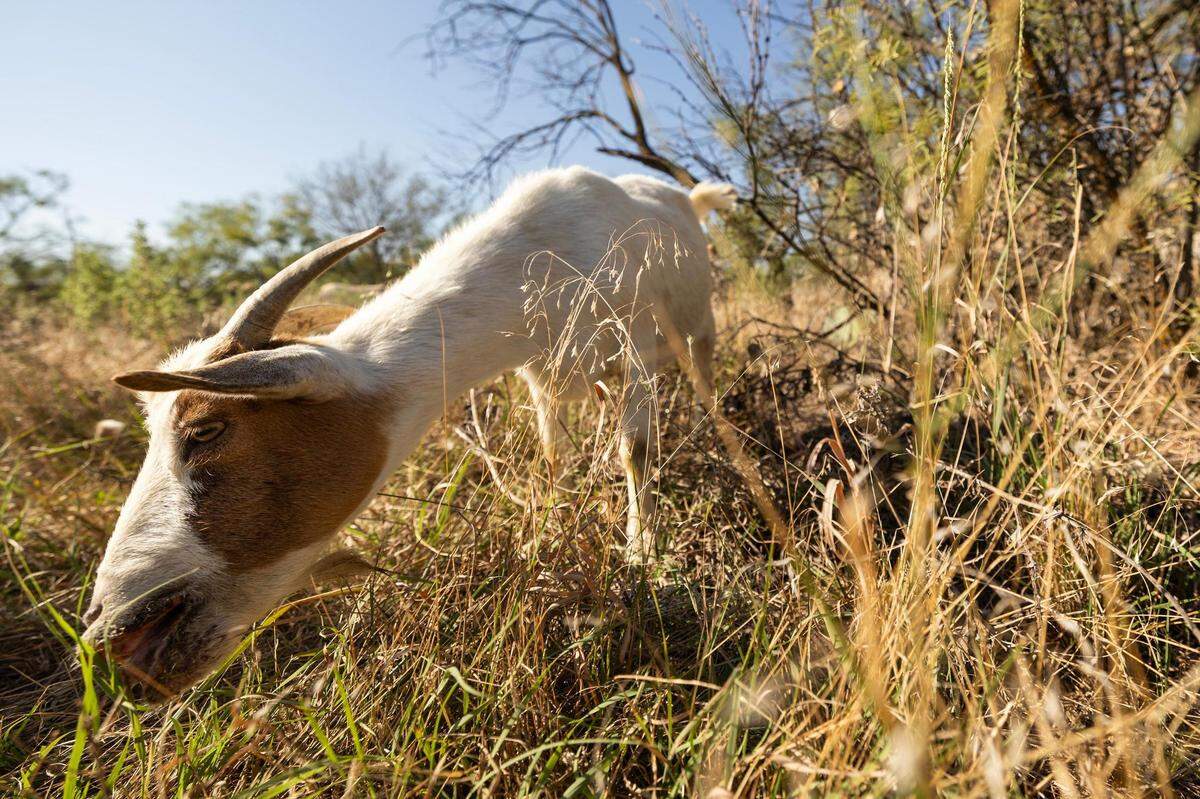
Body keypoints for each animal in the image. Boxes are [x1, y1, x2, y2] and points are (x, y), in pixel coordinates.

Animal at [82, 166, 736, 695]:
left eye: (205, 431)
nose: (108, 629)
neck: (544, 248)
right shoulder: (539, 378)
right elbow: (554, 459)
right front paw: (546, 532)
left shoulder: (636, 357)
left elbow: (635, 452)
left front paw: (642, 556)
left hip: (696, 330)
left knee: (705, 383)